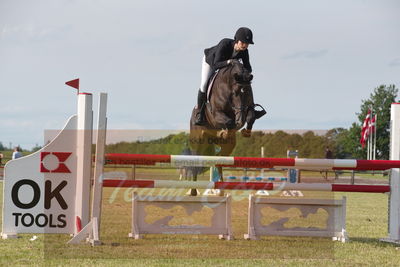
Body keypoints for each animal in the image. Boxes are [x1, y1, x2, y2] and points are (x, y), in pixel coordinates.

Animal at [189, 60, 264, 196]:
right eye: (235, 93)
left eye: (248, 92)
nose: (240, 119)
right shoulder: (217, 113)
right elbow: (229, 122)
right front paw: (224, 131)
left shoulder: (248, 107)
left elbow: (250, 117)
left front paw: (245, 131)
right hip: (198, 142)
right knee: (196, 162)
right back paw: (193, 191)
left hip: (228, 146)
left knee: (218, 160)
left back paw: (221, 190)